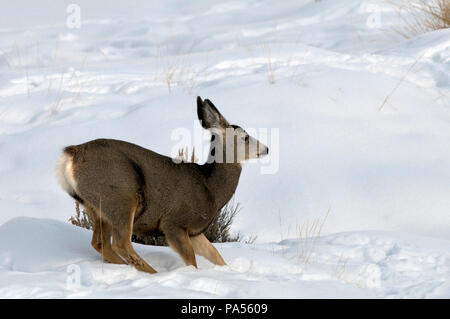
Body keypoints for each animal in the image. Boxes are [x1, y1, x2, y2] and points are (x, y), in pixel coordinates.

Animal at [56, 96, 268, 274]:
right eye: (245, 137)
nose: (266, 148)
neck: (210, 188)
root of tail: (71, 153)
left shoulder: (194, 231)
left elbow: (216, 255)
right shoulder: (174, 222)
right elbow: (192, 261)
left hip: (96, 207)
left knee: (100, 243)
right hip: (120, 197)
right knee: (120, 243)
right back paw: (152, 273)